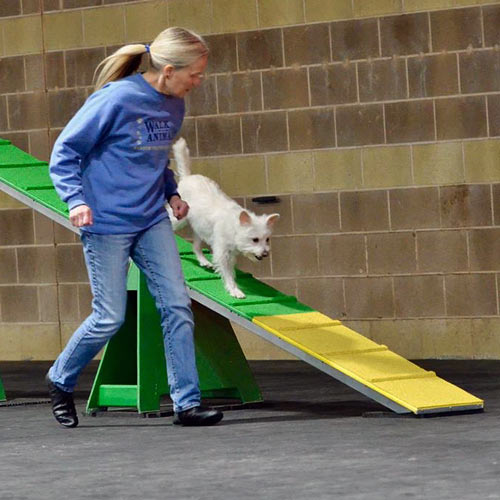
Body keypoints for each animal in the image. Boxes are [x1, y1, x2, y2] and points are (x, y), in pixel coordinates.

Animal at [169, 138, 280, 296]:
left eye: (267, 239)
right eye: (255, 239)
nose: (265, 254)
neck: (234, 226)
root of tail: (187, 177)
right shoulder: (223, 253)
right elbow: (227, 273)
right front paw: (234, 290)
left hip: (200, 229)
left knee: (196, 246)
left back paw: (204, 261)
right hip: (179, 218)